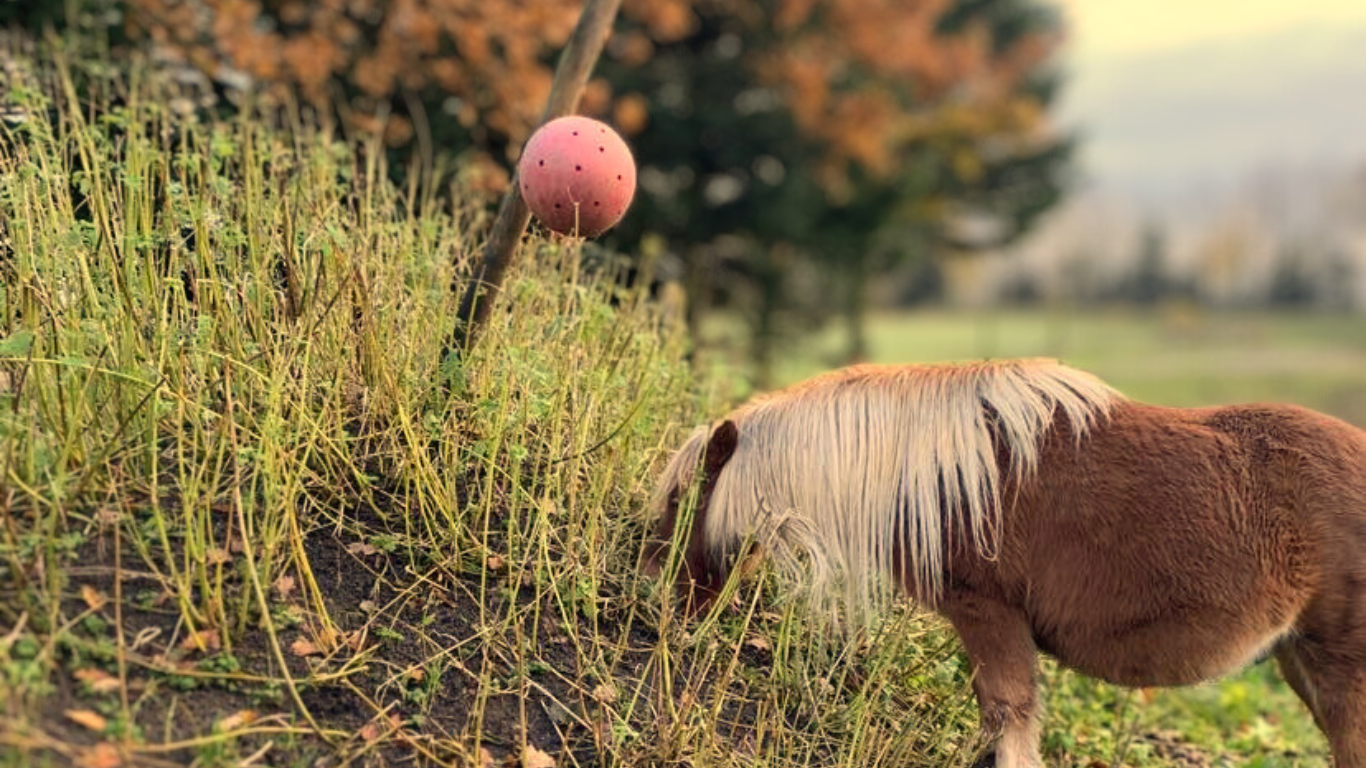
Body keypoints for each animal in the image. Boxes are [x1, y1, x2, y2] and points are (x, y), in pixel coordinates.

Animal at [639, 358, 1366, 765]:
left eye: (681, 499)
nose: (654, 590)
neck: (935, 470)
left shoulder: (989, 617)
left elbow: (1007, 723)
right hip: (1301, 661)